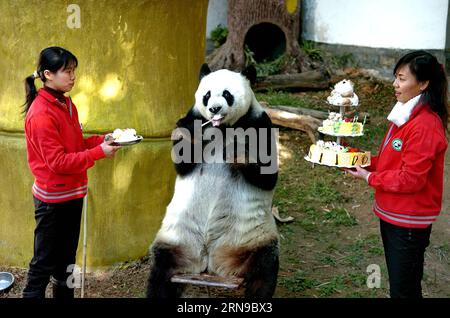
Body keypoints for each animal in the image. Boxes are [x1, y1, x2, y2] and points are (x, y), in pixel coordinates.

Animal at [146, 64, 280, 298]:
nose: (215, 109)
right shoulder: (195, 117)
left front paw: (237, 153)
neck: (222, 128)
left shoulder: (259, 124)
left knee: (264, 270)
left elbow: (268, 176)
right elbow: (182, 161)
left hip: (253, 236)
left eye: (227, 94)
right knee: (161, 272)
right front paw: (189, 135)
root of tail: (210, 261)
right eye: (207, 95)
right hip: (177, 237)